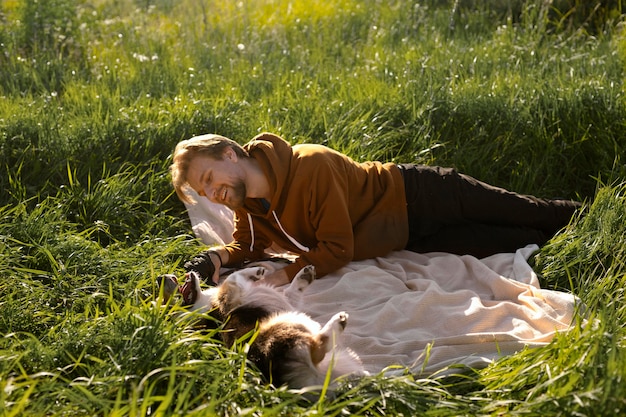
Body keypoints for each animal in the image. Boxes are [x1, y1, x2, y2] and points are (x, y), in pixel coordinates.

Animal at [157, 264, 366, 386]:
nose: (160, 277)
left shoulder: (289, 301)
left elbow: (293, 290)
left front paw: (304, 274)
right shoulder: (229, 295)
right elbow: (232, 276)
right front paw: (255, 270)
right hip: (284, 326)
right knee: (318, 346)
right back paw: (339, 321)